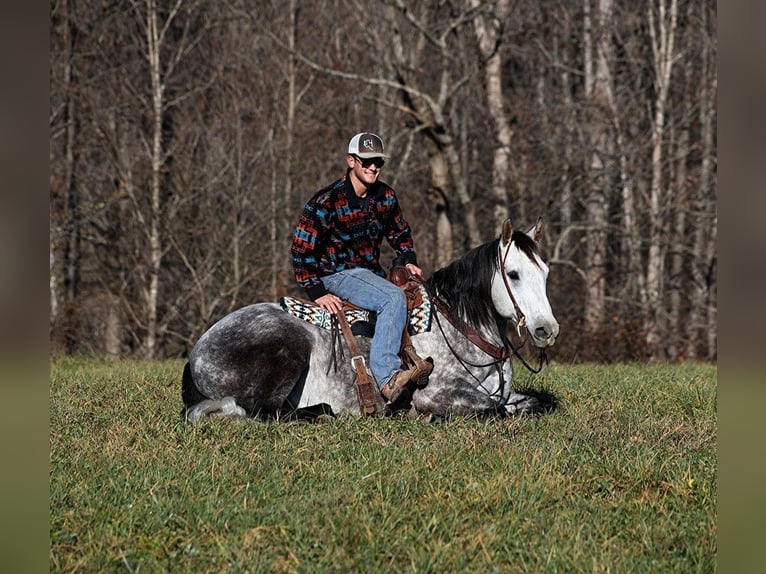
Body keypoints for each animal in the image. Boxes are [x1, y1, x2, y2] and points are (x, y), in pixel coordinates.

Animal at [183, 220, 560, 424]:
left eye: (545, 272)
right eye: (513, 274)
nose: (547, 330)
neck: (459, 328)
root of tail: (196, 353)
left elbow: (533, 403)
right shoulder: (437, 395)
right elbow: (495, 409)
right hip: (288, 349)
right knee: (262, 412)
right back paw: (323, 411)